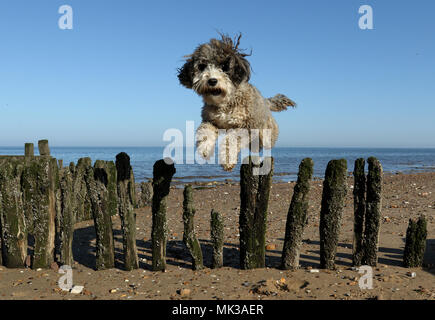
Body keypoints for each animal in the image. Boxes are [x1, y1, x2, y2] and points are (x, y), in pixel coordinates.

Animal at [177, 33, 296, 171]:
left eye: (224, 67)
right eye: (202, 66)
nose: (212, 81)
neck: (225, 101)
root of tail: (266, 101)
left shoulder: (245, 126)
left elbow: (231, 140)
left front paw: (227, 159)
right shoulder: (210, 120)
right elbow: (205, 131)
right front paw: (204, 148)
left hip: (266, 132)